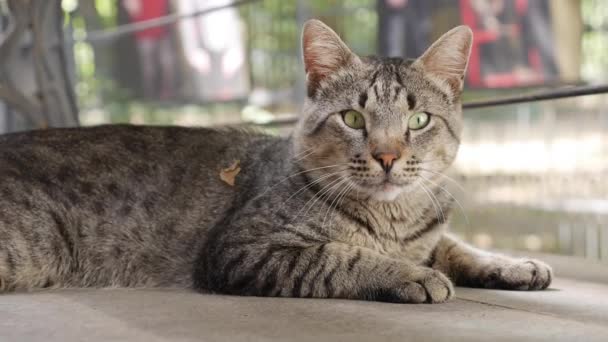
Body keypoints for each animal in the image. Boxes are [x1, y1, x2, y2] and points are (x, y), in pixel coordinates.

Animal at [0, 20, 552, 302]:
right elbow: (342, 256)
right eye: (353, 117)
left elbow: (458, 247)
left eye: (418, 121)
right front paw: (409, 275)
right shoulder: (243, 249)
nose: (388, 156)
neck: (394, 219)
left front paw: (512, 265)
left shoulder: (430, 234)